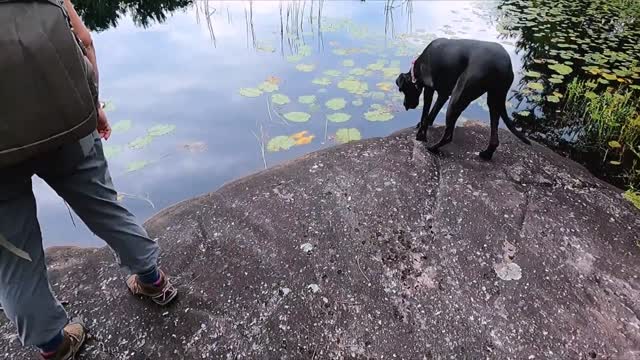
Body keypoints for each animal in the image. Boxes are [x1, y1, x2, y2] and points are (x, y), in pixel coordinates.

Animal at [396, 37, 528, 159]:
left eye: (402, 90)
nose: (405, 105)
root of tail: (504, 65)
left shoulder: (430, 90)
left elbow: (425, 114)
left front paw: (421, 136)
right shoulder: (443, 94)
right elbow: (432, 113)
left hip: (456, 99)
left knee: (448, 135)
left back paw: (433, 148)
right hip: (493, 102)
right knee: (494, 139)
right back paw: (486, 154)